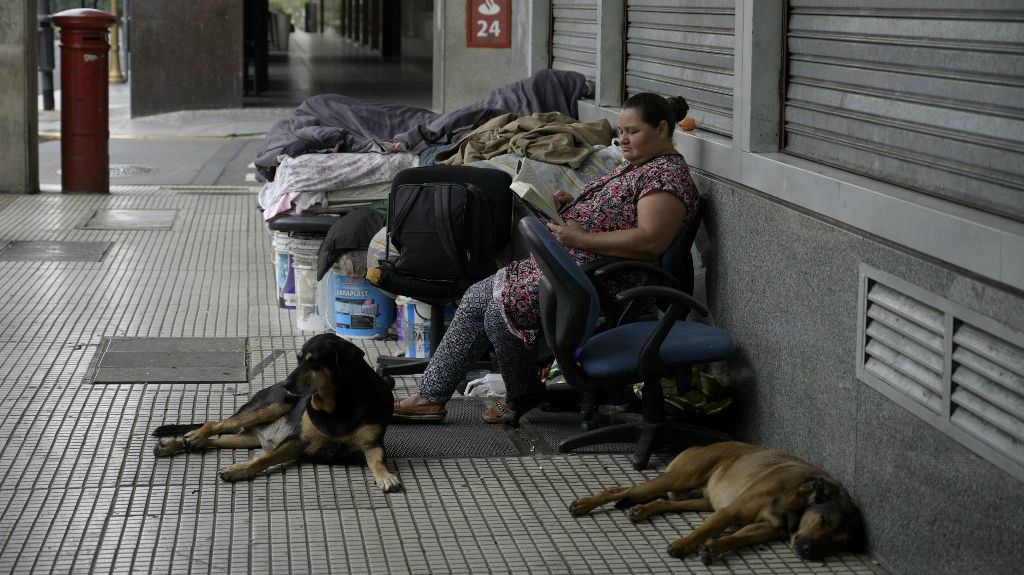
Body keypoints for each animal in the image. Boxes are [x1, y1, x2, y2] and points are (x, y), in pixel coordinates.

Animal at [151, 331, 399, 487]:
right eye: (298, 359)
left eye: (314, 362)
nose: (286, 384)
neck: (336, 405)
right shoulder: (298, 441)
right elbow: (264, 459)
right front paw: (239, 469)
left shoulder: (371, 444)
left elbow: (377, 460)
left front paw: (385, 476)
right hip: (270, 407)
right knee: (215, 423)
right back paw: (193, 436)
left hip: (247, 438)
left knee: (211, 442)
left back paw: (177, 444)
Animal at [569, 439, 864, 560]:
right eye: (823, 520)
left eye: (838, 543)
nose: (810, 552)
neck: (798, 502)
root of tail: (703, 445)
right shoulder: (731, 512)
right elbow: (705, 530)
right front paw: (684, 544)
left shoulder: (765, 528)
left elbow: (739, 537)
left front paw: (714, 547)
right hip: (681, 479)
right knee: (620, 490)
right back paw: (585, 504)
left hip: (702, 500)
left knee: (664, 501)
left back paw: (642, 510)